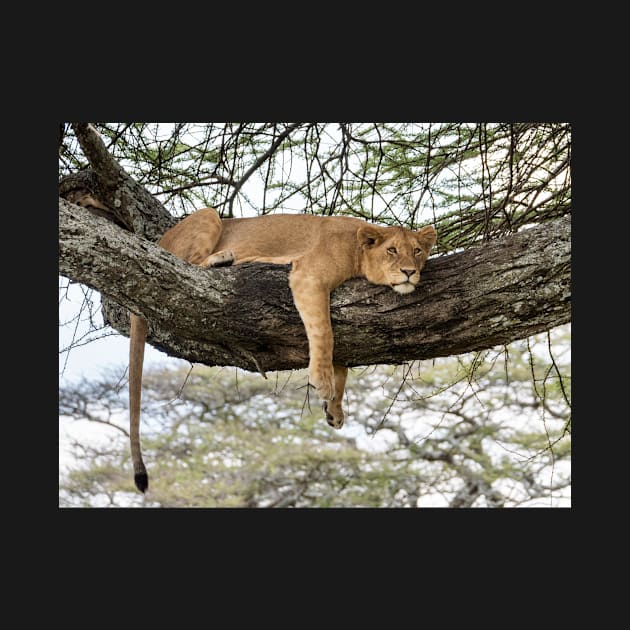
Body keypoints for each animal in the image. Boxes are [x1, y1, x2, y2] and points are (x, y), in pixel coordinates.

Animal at [126, 207, 436, 494]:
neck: (357, 248)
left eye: (417, 251)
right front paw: (322, 382)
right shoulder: (309, 277)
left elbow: (342, 362)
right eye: (392, 250)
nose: (410, 272)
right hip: (207, 215)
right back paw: (224, 258)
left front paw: (334, 409)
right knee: (186, 265)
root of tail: (159, 241)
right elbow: (324, 333)